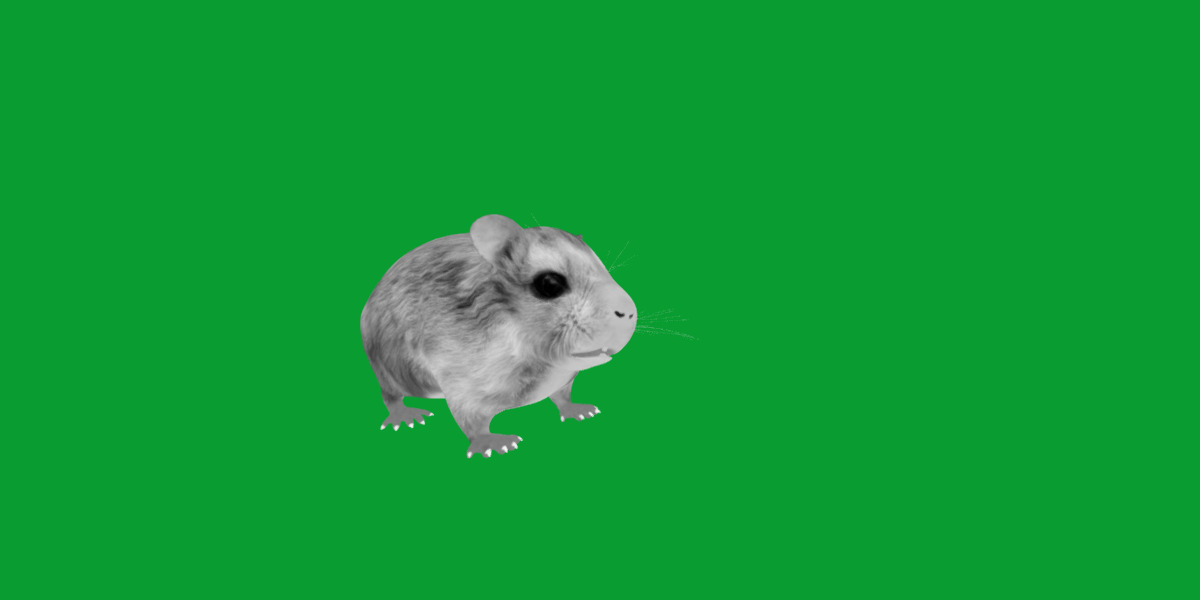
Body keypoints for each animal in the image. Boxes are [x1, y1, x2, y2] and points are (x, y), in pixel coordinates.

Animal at [361, 214, 637, 458]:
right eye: (550, 283)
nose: (629, 312)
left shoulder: (563, 381)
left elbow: (563, 397)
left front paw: (579, 410)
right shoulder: (463, 386)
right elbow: (472, 423)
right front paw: (495, 444)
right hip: (390, 372)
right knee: (390, 396)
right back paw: (404, 416)